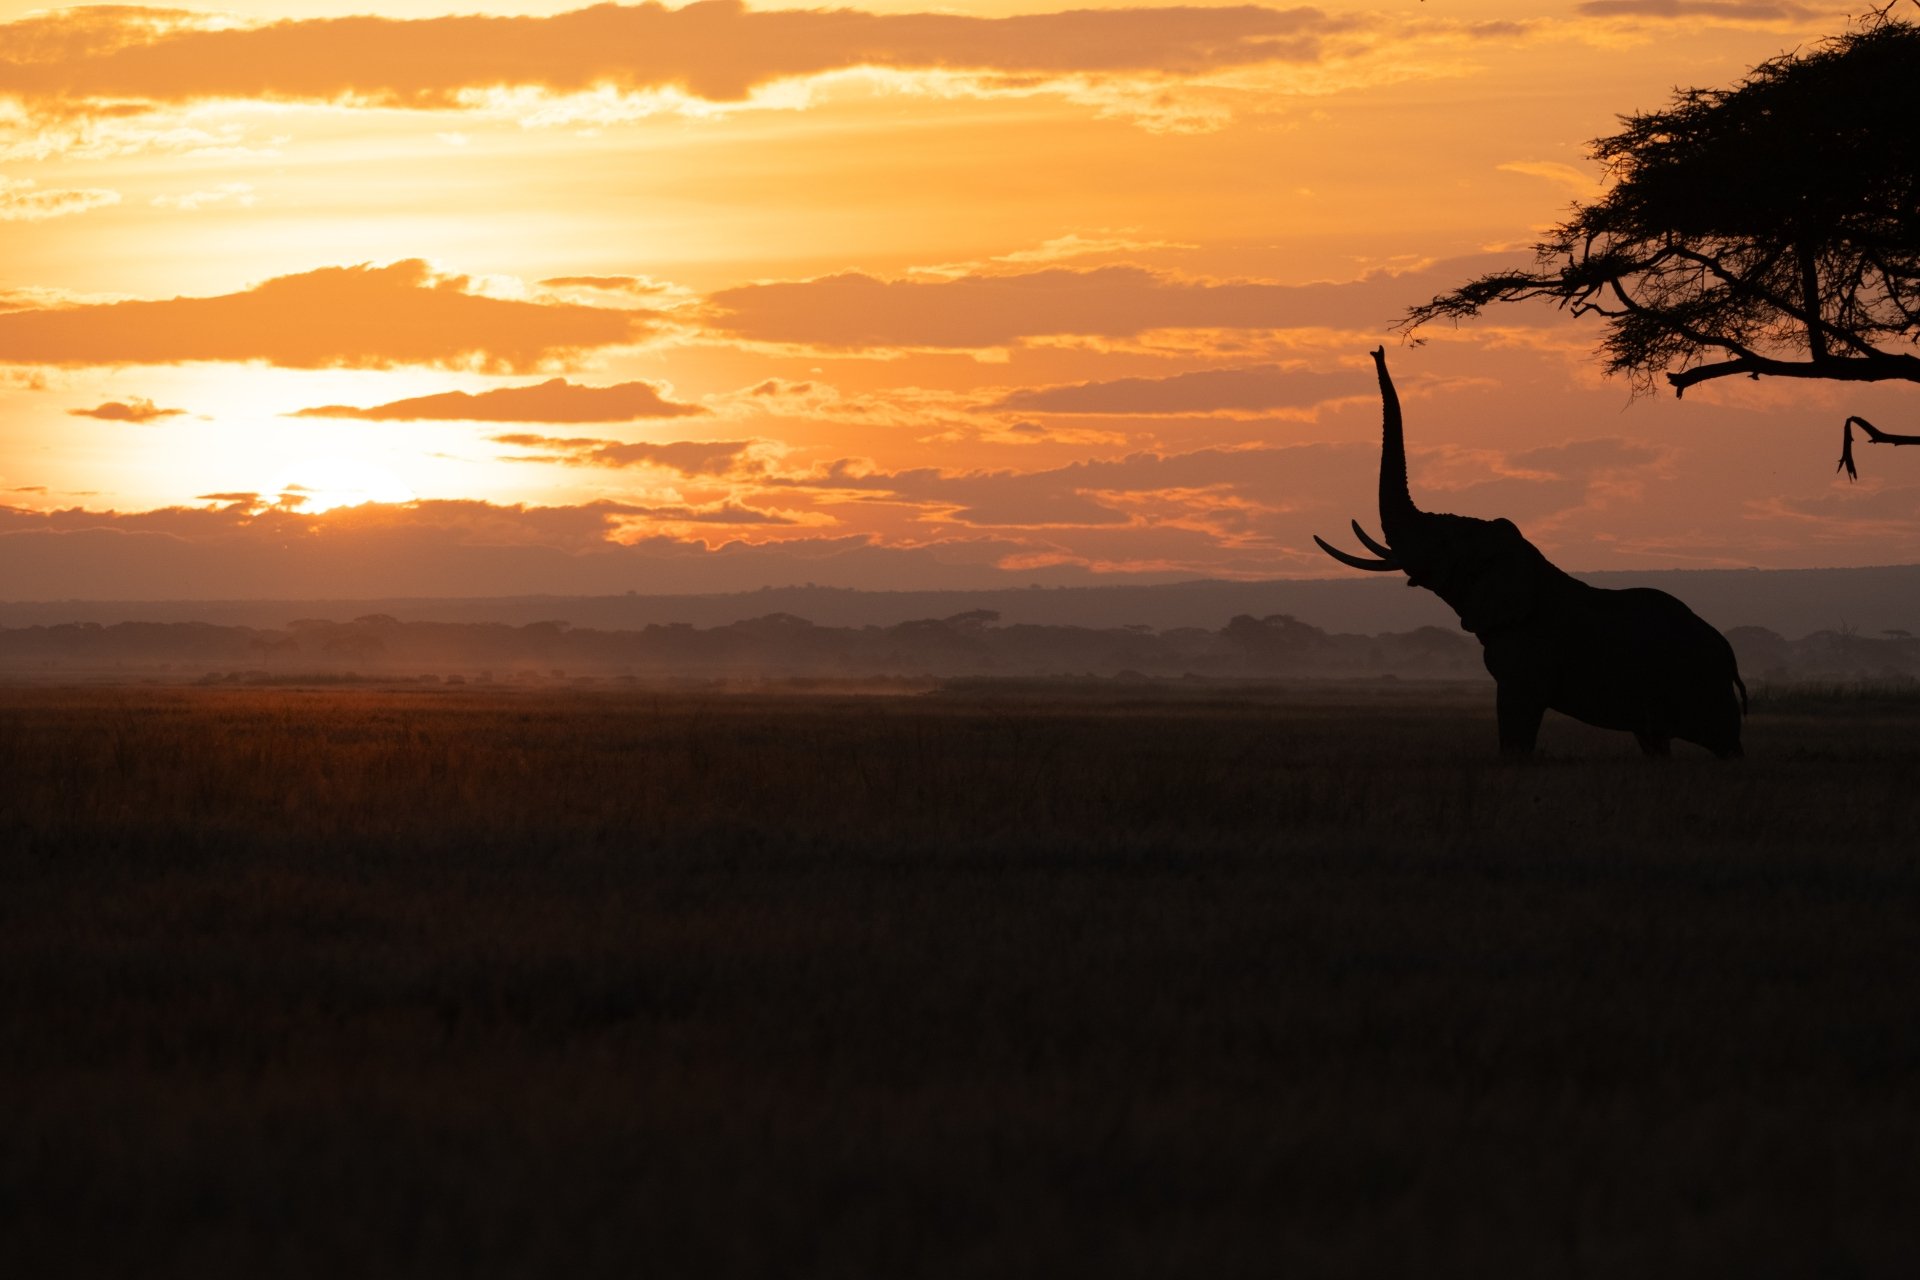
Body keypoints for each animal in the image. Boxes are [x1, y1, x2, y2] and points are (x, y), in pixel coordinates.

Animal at [1314, 348, 1746, 758]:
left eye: (1444, 542)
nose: (1377, 351)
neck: (1523, 559)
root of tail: (1729, 655)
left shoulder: (1529, 653)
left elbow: (1516, 721)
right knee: (1658, 741)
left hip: (1698, 682)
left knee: (1722, 743)